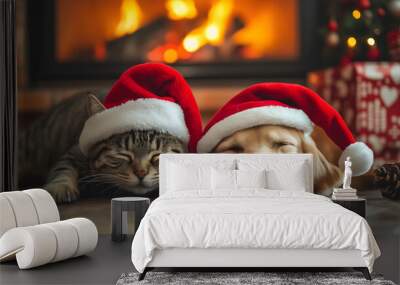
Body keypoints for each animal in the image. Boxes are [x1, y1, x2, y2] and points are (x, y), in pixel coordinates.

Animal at [18, 92, 184, 202]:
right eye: (123, 155)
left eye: (158, 155)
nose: (141, 173)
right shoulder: (75, 151)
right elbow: (62, 167)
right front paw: (60, 187)